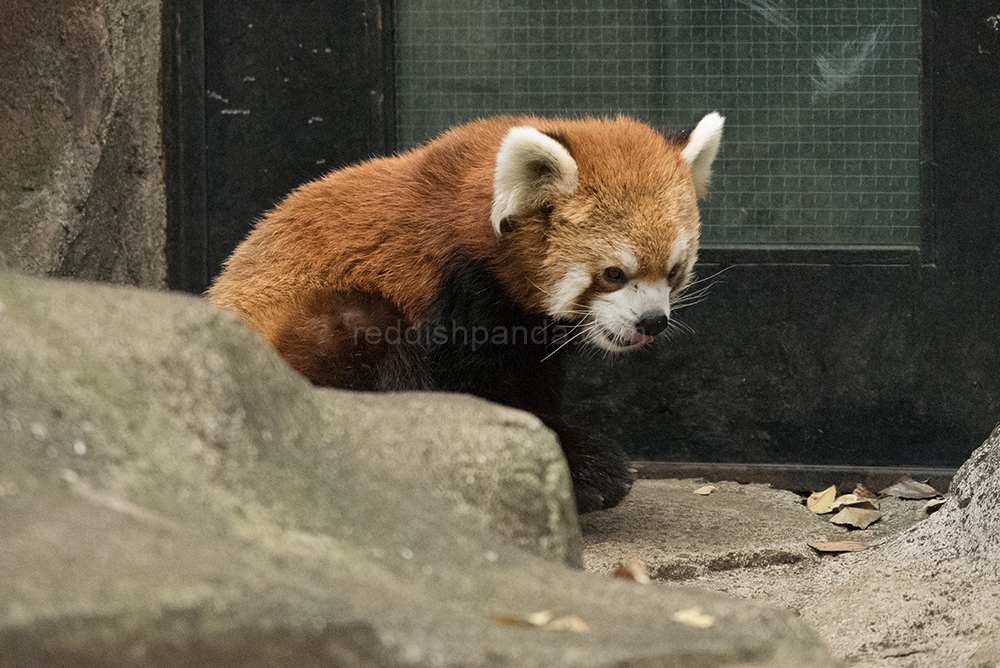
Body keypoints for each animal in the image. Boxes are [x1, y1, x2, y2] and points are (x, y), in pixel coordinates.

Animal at [213, 115, 728, 512]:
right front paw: (573, 466)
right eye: (614, 274)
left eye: (674, 271)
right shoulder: (453, 296)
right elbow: (469, 392)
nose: (652, 322)